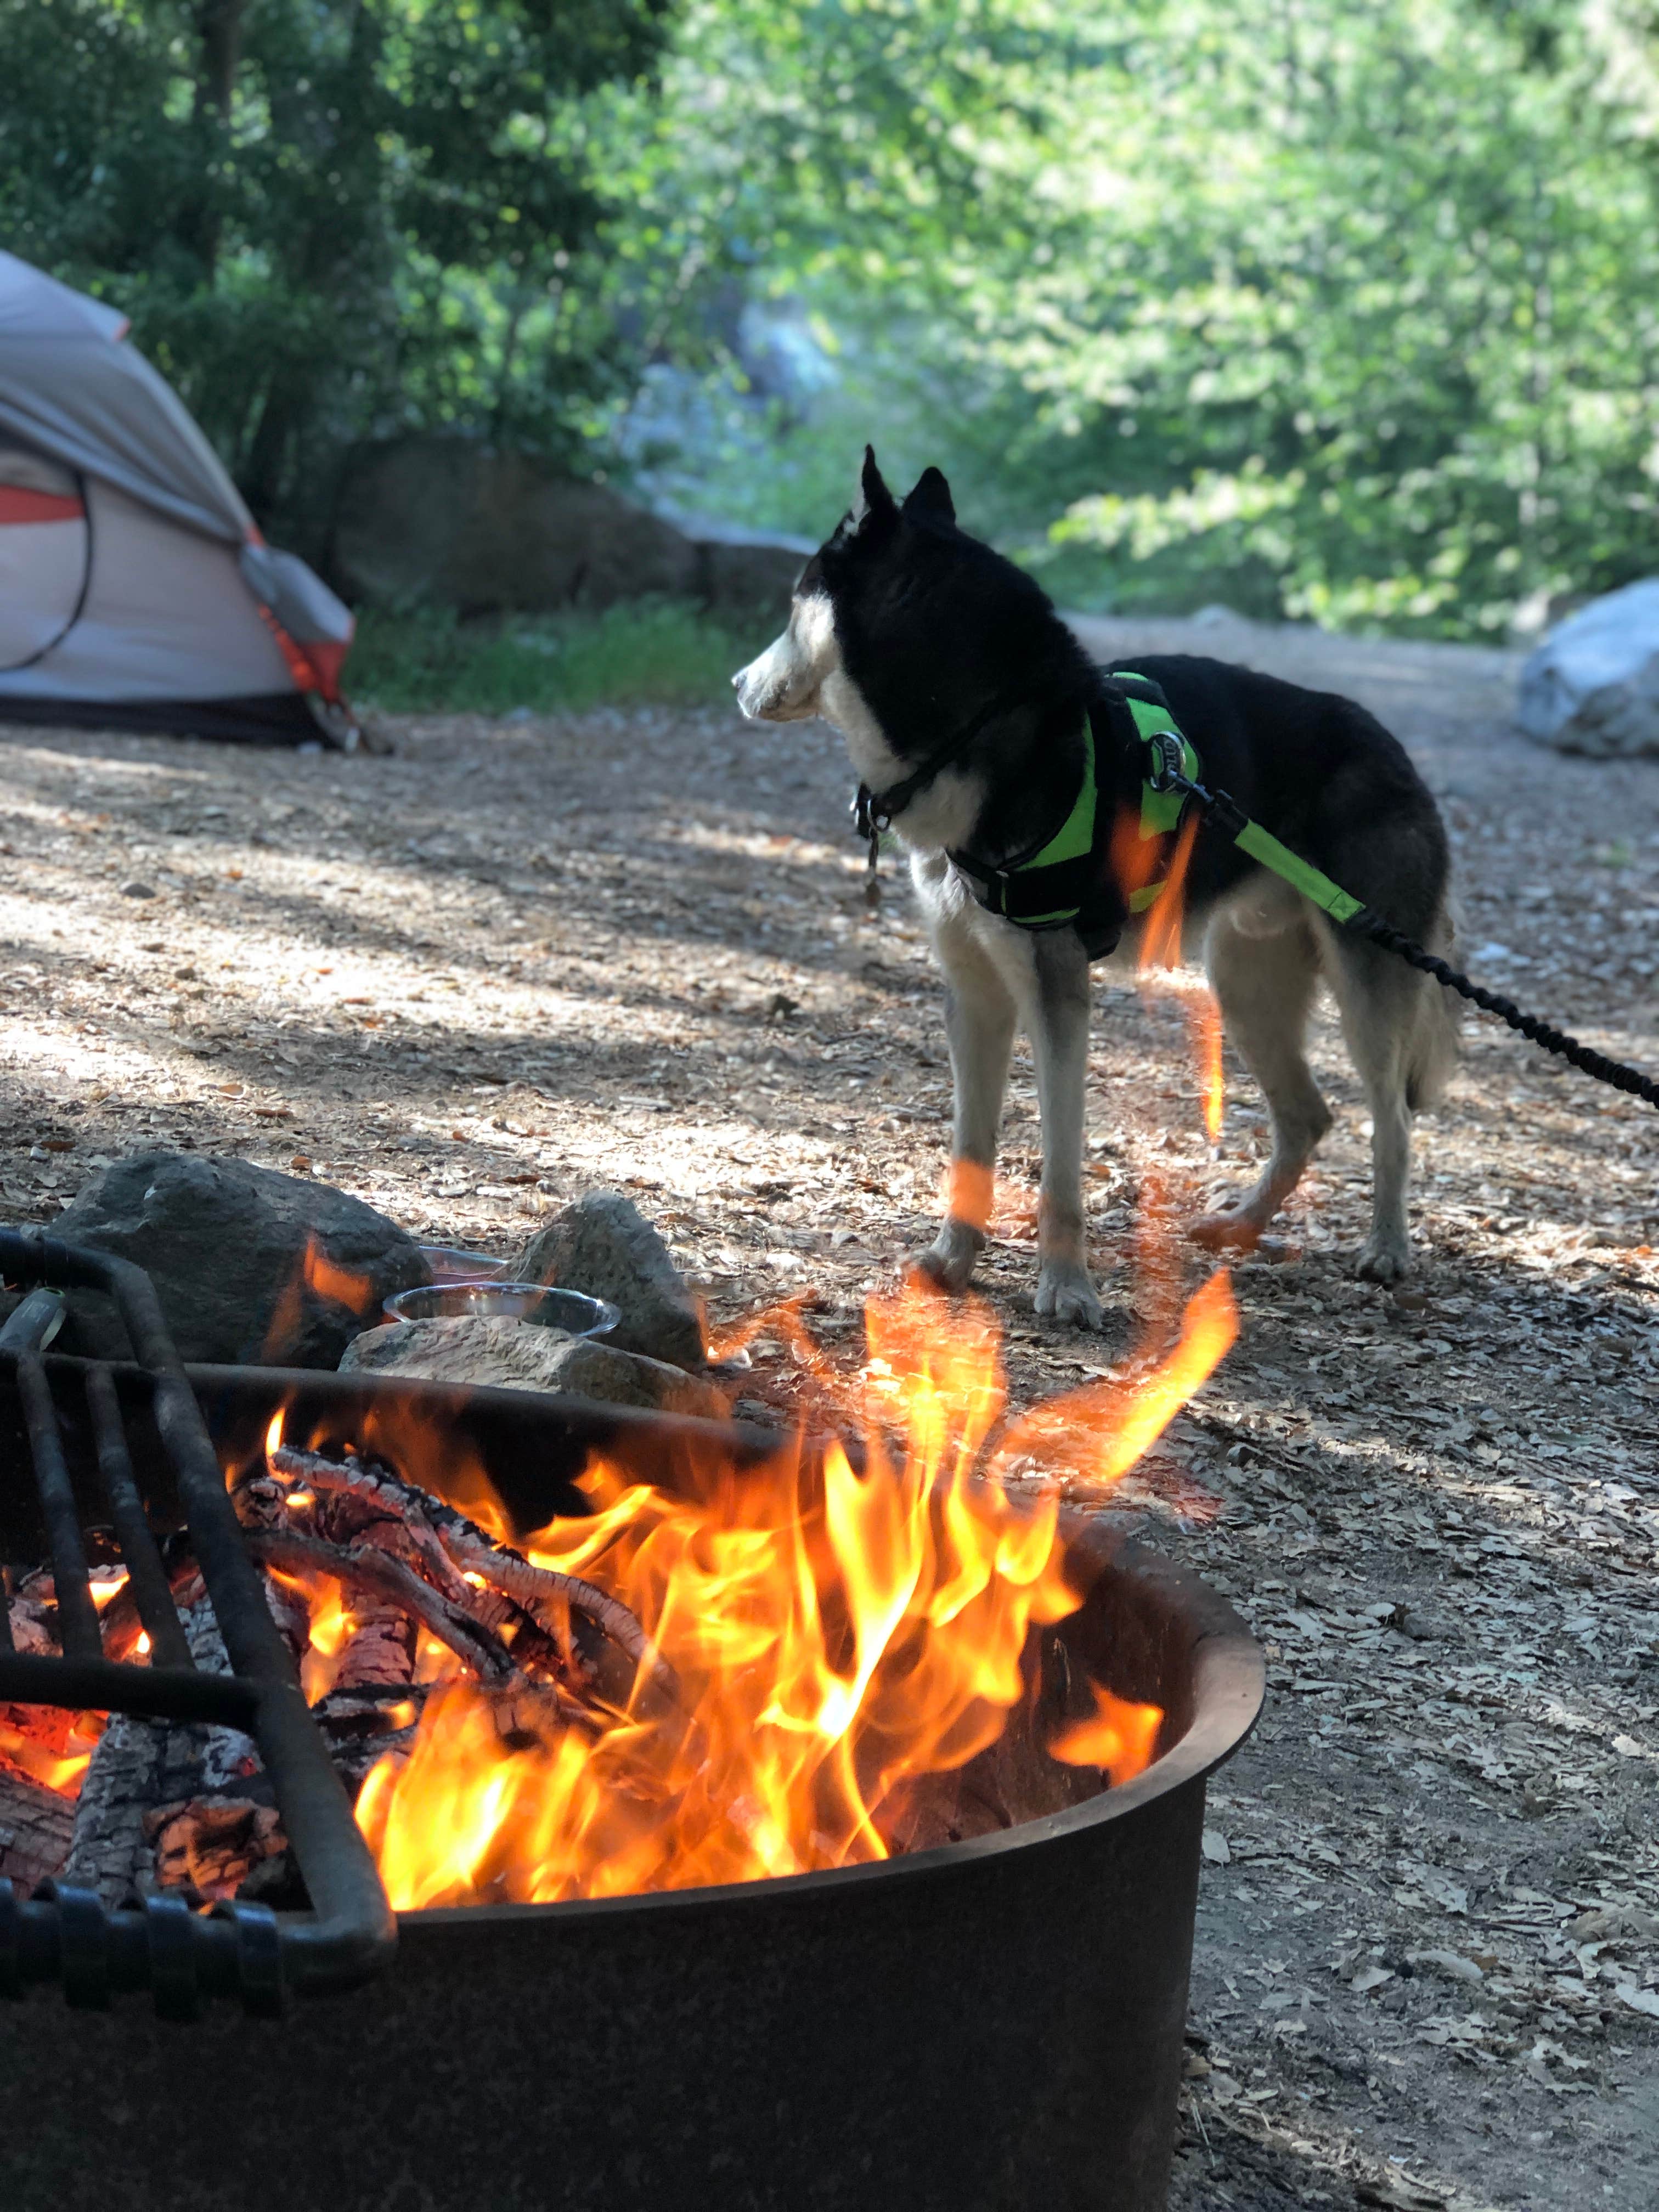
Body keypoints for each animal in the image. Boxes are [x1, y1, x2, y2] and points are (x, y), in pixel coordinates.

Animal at [734, 447, 1460, 1309]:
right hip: (1246, 986)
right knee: (1309, 1118)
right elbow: (971, 1146)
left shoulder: (1056, 998)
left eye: (792, 604)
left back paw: (1386, 1246)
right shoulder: (975, 996)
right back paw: (1242, 1226)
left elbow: (1060, 1169)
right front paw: (954, 1260)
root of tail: (1395, 751)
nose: (736, 684)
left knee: (1393, 1122)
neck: (982, 726)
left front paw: (1066, 1286)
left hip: (1365, 992)